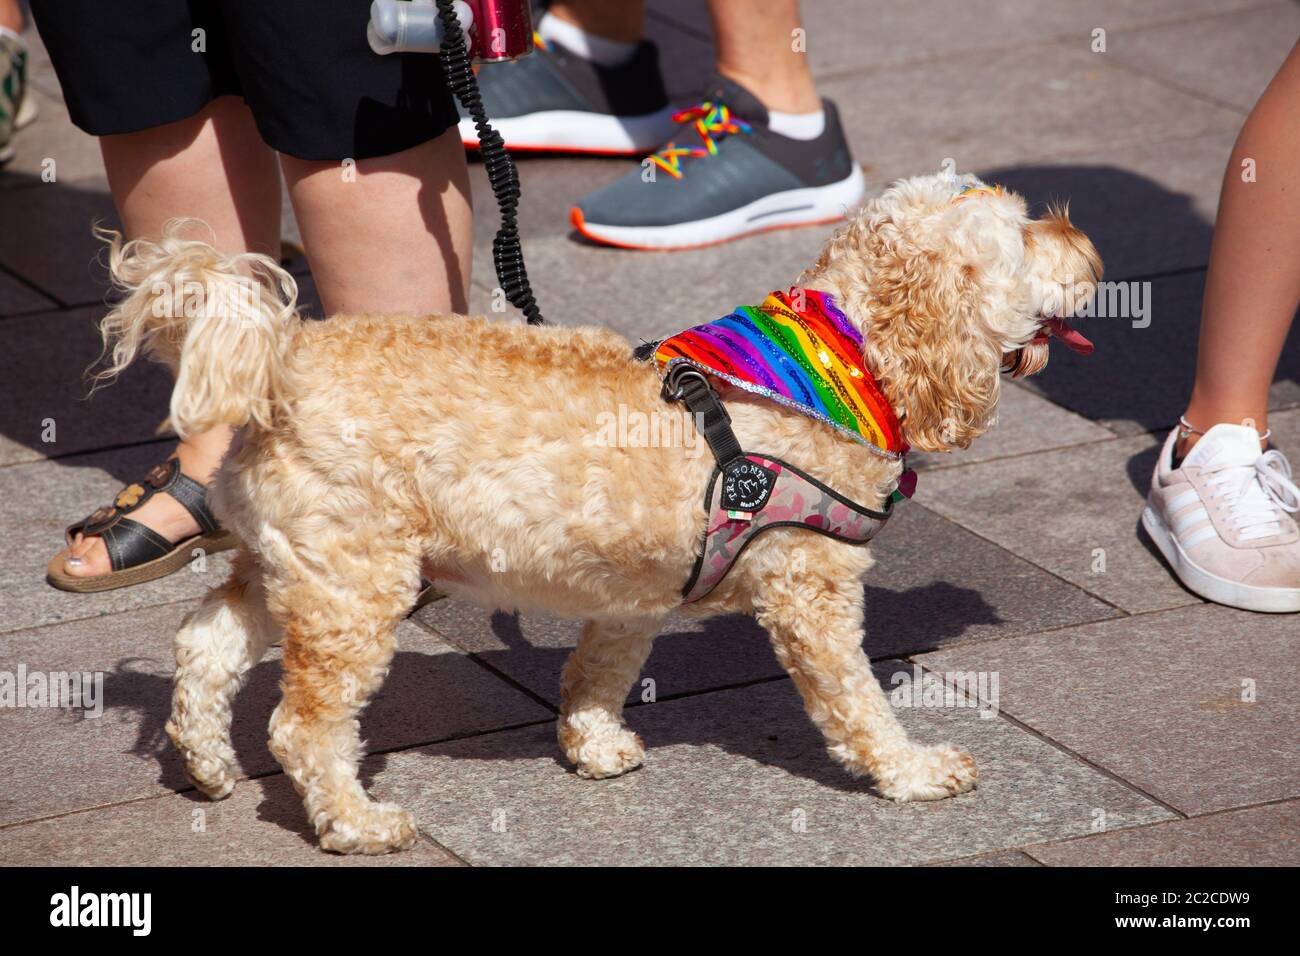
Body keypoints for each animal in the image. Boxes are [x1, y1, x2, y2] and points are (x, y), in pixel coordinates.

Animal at [96, 170, 1102, 853]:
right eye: (1022, 236)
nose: (1089, 247)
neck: (833, 363)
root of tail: (288, 362)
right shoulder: (811, 593)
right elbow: (856, 702)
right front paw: (913, 771)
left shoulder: (636, 588)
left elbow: (600, 672)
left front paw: (592, 743)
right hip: (355, 588)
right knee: (304, 727)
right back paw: (355, 822)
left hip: (292, 565)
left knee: (206, 643)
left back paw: (208, 765)